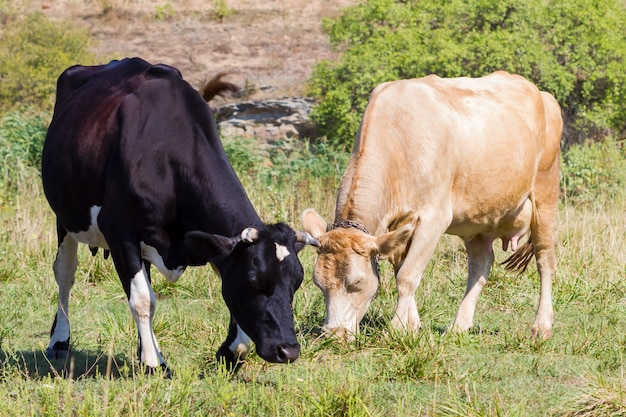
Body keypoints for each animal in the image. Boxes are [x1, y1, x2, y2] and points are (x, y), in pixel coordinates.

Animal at [41, 57, 320, 372]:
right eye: (254, 280)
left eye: (297, 282)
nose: (288, 350)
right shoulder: (119, 229)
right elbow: (142, 300)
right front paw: (153, 364)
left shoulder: (204, 240)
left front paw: (231, 349)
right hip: (65, 218)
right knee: (65, 274)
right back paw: (60, 341)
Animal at [300, 70, 560, 340]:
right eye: (318, 283)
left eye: (357, 282)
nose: (334, 334)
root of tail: (541, 94)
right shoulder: (398, 228)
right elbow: (401, 269)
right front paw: (411, 325)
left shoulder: (434, 217)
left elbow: (407, 275)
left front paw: (398, 328)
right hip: (479, 218)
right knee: (480, 265)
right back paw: (459, 325)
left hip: (545, 192)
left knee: (545, 259)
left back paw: (542, 325)